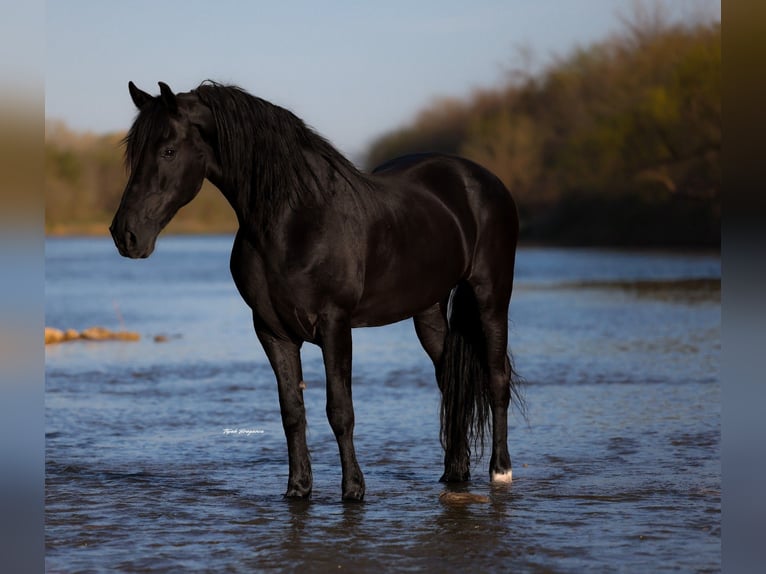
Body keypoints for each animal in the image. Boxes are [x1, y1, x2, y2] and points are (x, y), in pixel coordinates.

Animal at [110, 81, 522, 501]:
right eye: (134, 154)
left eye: (168, 150)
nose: (125, 235)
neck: (296, 219)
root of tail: (482, 180)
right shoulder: (272, 331)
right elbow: (292, 412)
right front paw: (298, 488)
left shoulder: (334, 325)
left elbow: (340, 410)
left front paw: (353, 489)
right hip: (428, 310)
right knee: (449, 380)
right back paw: (454, 472)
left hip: (491, 297)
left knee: (496, 377)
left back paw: (500, 471)